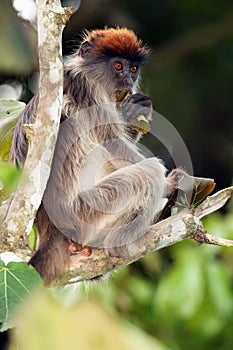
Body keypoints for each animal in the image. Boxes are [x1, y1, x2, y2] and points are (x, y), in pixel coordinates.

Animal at [10, 27, 178, 284]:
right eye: (117, 66)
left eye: (133, 69)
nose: (128, 81)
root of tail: (48, 231)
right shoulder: (87, 91)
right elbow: (114, 145)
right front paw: (170, 185)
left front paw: (133, 110)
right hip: (85, 213)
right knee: (149, 172)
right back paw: (120, 247)